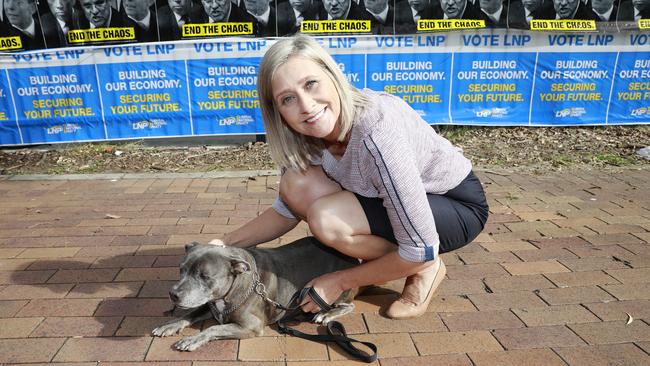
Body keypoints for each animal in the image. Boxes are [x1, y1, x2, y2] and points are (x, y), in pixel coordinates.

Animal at [151, 236, 356, 350]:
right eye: (181, 270)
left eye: (204, 276)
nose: (173, 294)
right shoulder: (209, 304)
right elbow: (190, 313)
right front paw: (169, 325)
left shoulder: (251, 326)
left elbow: (213, 328)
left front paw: (193, 339)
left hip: (338, 291)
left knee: (349, 305)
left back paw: (327, 314)